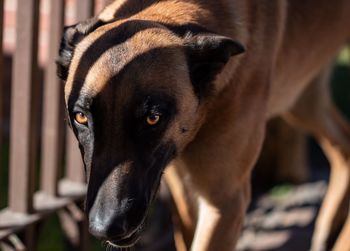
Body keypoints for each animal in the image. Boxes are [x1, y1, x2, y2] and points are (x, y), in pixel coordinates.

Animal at [56, 0, 350, 250]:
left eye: (153, 118)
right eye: (80, 117)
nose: (105, 227)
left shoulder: (225, 201)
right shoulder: (183, 188)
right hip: (299, 97)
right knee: (343, 146)